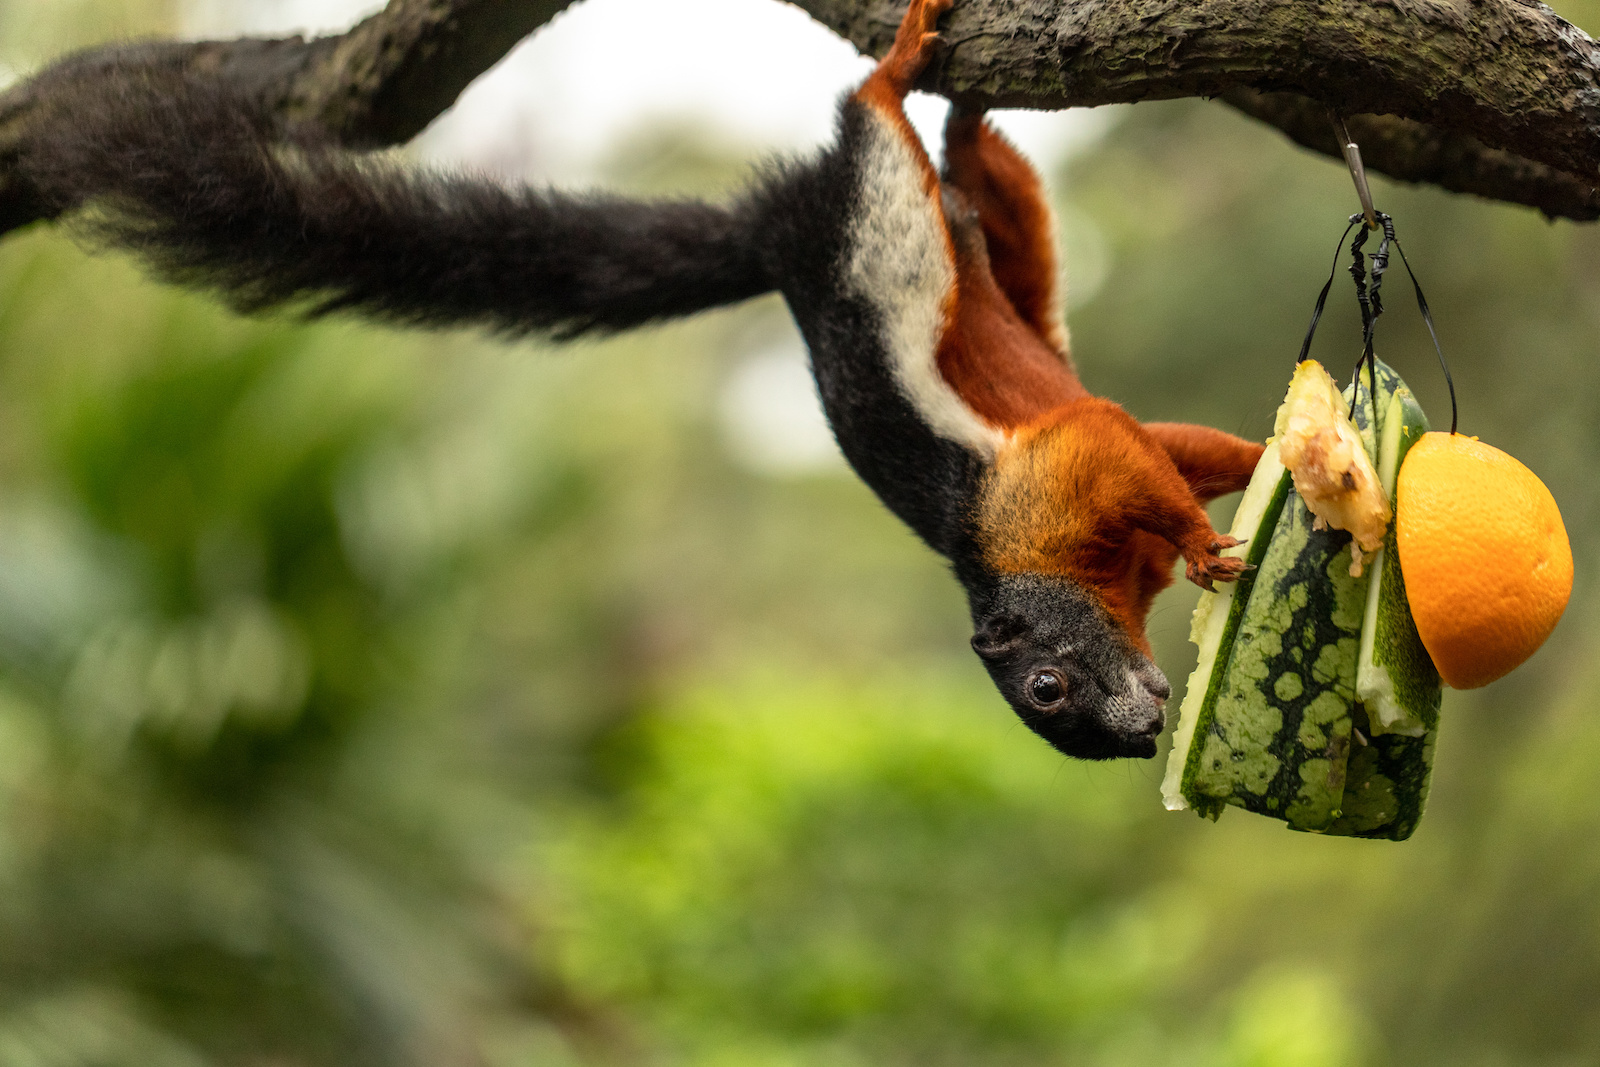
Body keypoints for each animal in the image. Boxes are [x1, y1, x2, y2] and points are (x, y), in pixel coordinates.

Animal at [16, 0, 1263, 760]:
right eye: (1049, 704)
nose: (1139, 732)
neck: (1059, 577)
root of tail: (775, 232)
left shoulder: (1056, 480)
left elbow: (1156, 453)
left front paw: (1227, 517)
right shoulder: (1081, 485)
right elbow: (1163, 444)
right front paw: (1244, 503)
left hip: (872, 225)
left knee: (882, 132)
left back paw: (905, 68)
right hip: (991, 270)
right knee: (980, 178)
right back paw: (955, 104)